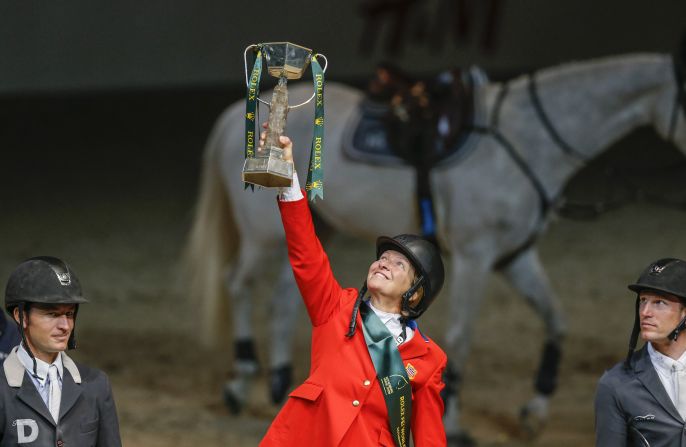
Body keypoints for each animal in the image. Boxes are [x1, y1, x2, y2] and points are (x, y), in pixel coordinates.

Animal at [185, 50, 686, 442]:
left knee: (285, 300)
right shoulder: (474, 255)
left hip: (318, 228)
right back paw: (240, 382)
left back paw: (280, 383)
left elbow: (556, 321)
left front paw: (534, 411)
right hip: (262, 236)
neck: (524, 139)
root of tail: (234, 118)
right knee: (238, 284)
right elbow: (462, 336)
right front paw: (457, 423)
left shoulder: (515, 256)